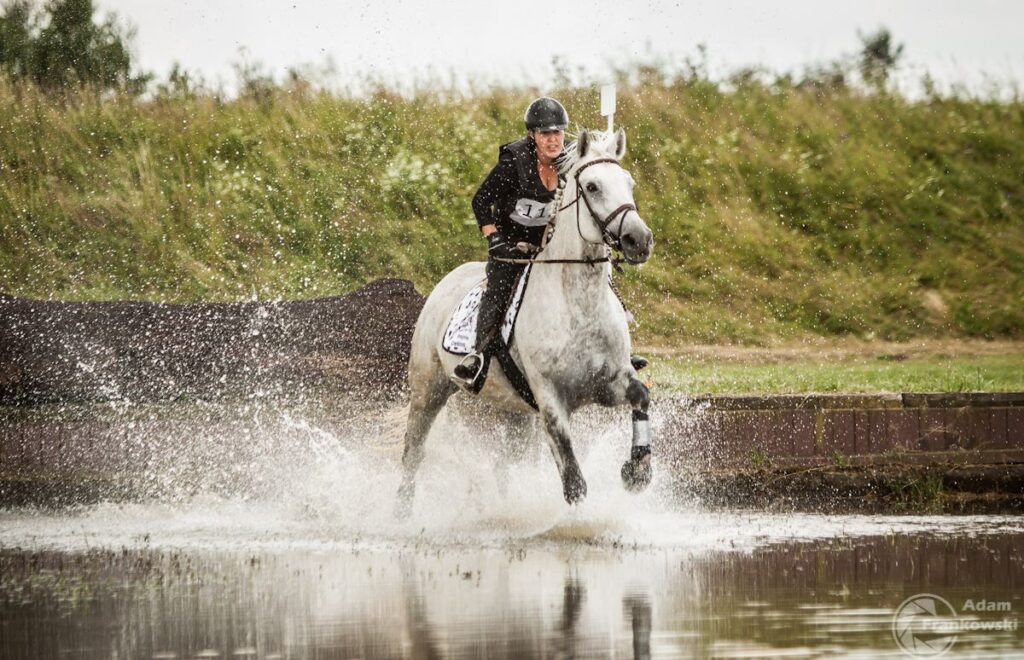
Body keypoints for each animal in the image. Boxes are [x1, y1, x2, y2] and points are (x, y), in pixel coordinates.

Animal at [395, 124, 651, 515]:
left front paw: (637, 471)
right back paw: (403, 513)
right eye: (592, 187)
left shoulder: (608, 382)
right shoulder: (550, 398)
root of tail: (444, 283)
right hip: (429, 388)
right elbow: (573, 480)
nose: (639, 239)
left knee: (505, 464)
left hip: (514, 410)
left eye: (629, 183)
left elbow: (641, 396)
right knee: (414, 451)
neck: (578, 304)